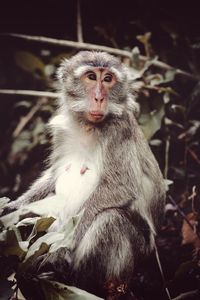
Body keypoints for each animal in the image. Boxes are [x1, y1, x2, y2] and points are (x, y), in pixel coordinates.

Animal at [1, 51, 166, 300]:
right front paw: (12, 208)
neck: (88, 125)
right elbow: (53, 177)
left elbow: (119, 188)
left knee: (110, 219)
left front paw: (60, 251)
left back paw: (72, 279)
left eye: (107, 79)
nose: (99, 97)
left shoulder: (118, 130)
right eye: (91, 77)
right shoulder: (63, 131)